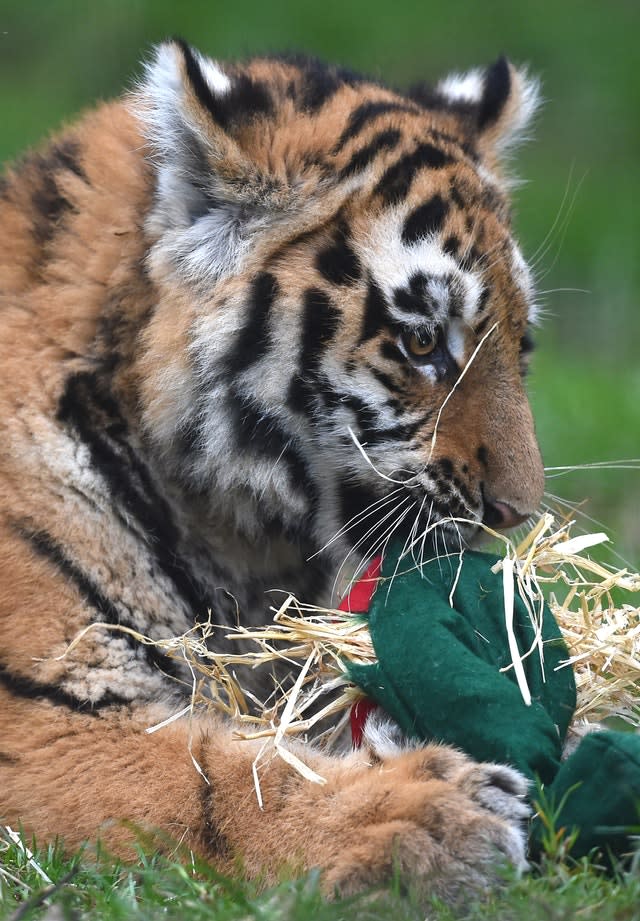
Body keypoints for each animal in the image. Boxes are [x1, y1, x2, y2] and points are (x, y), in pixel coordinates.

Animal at [2, 39, 548, 904]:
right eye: (422, 342)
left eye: (520, 342)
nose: (516, 511)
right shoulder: (37, 719)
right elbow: (218, 783)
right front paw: (427, 816)